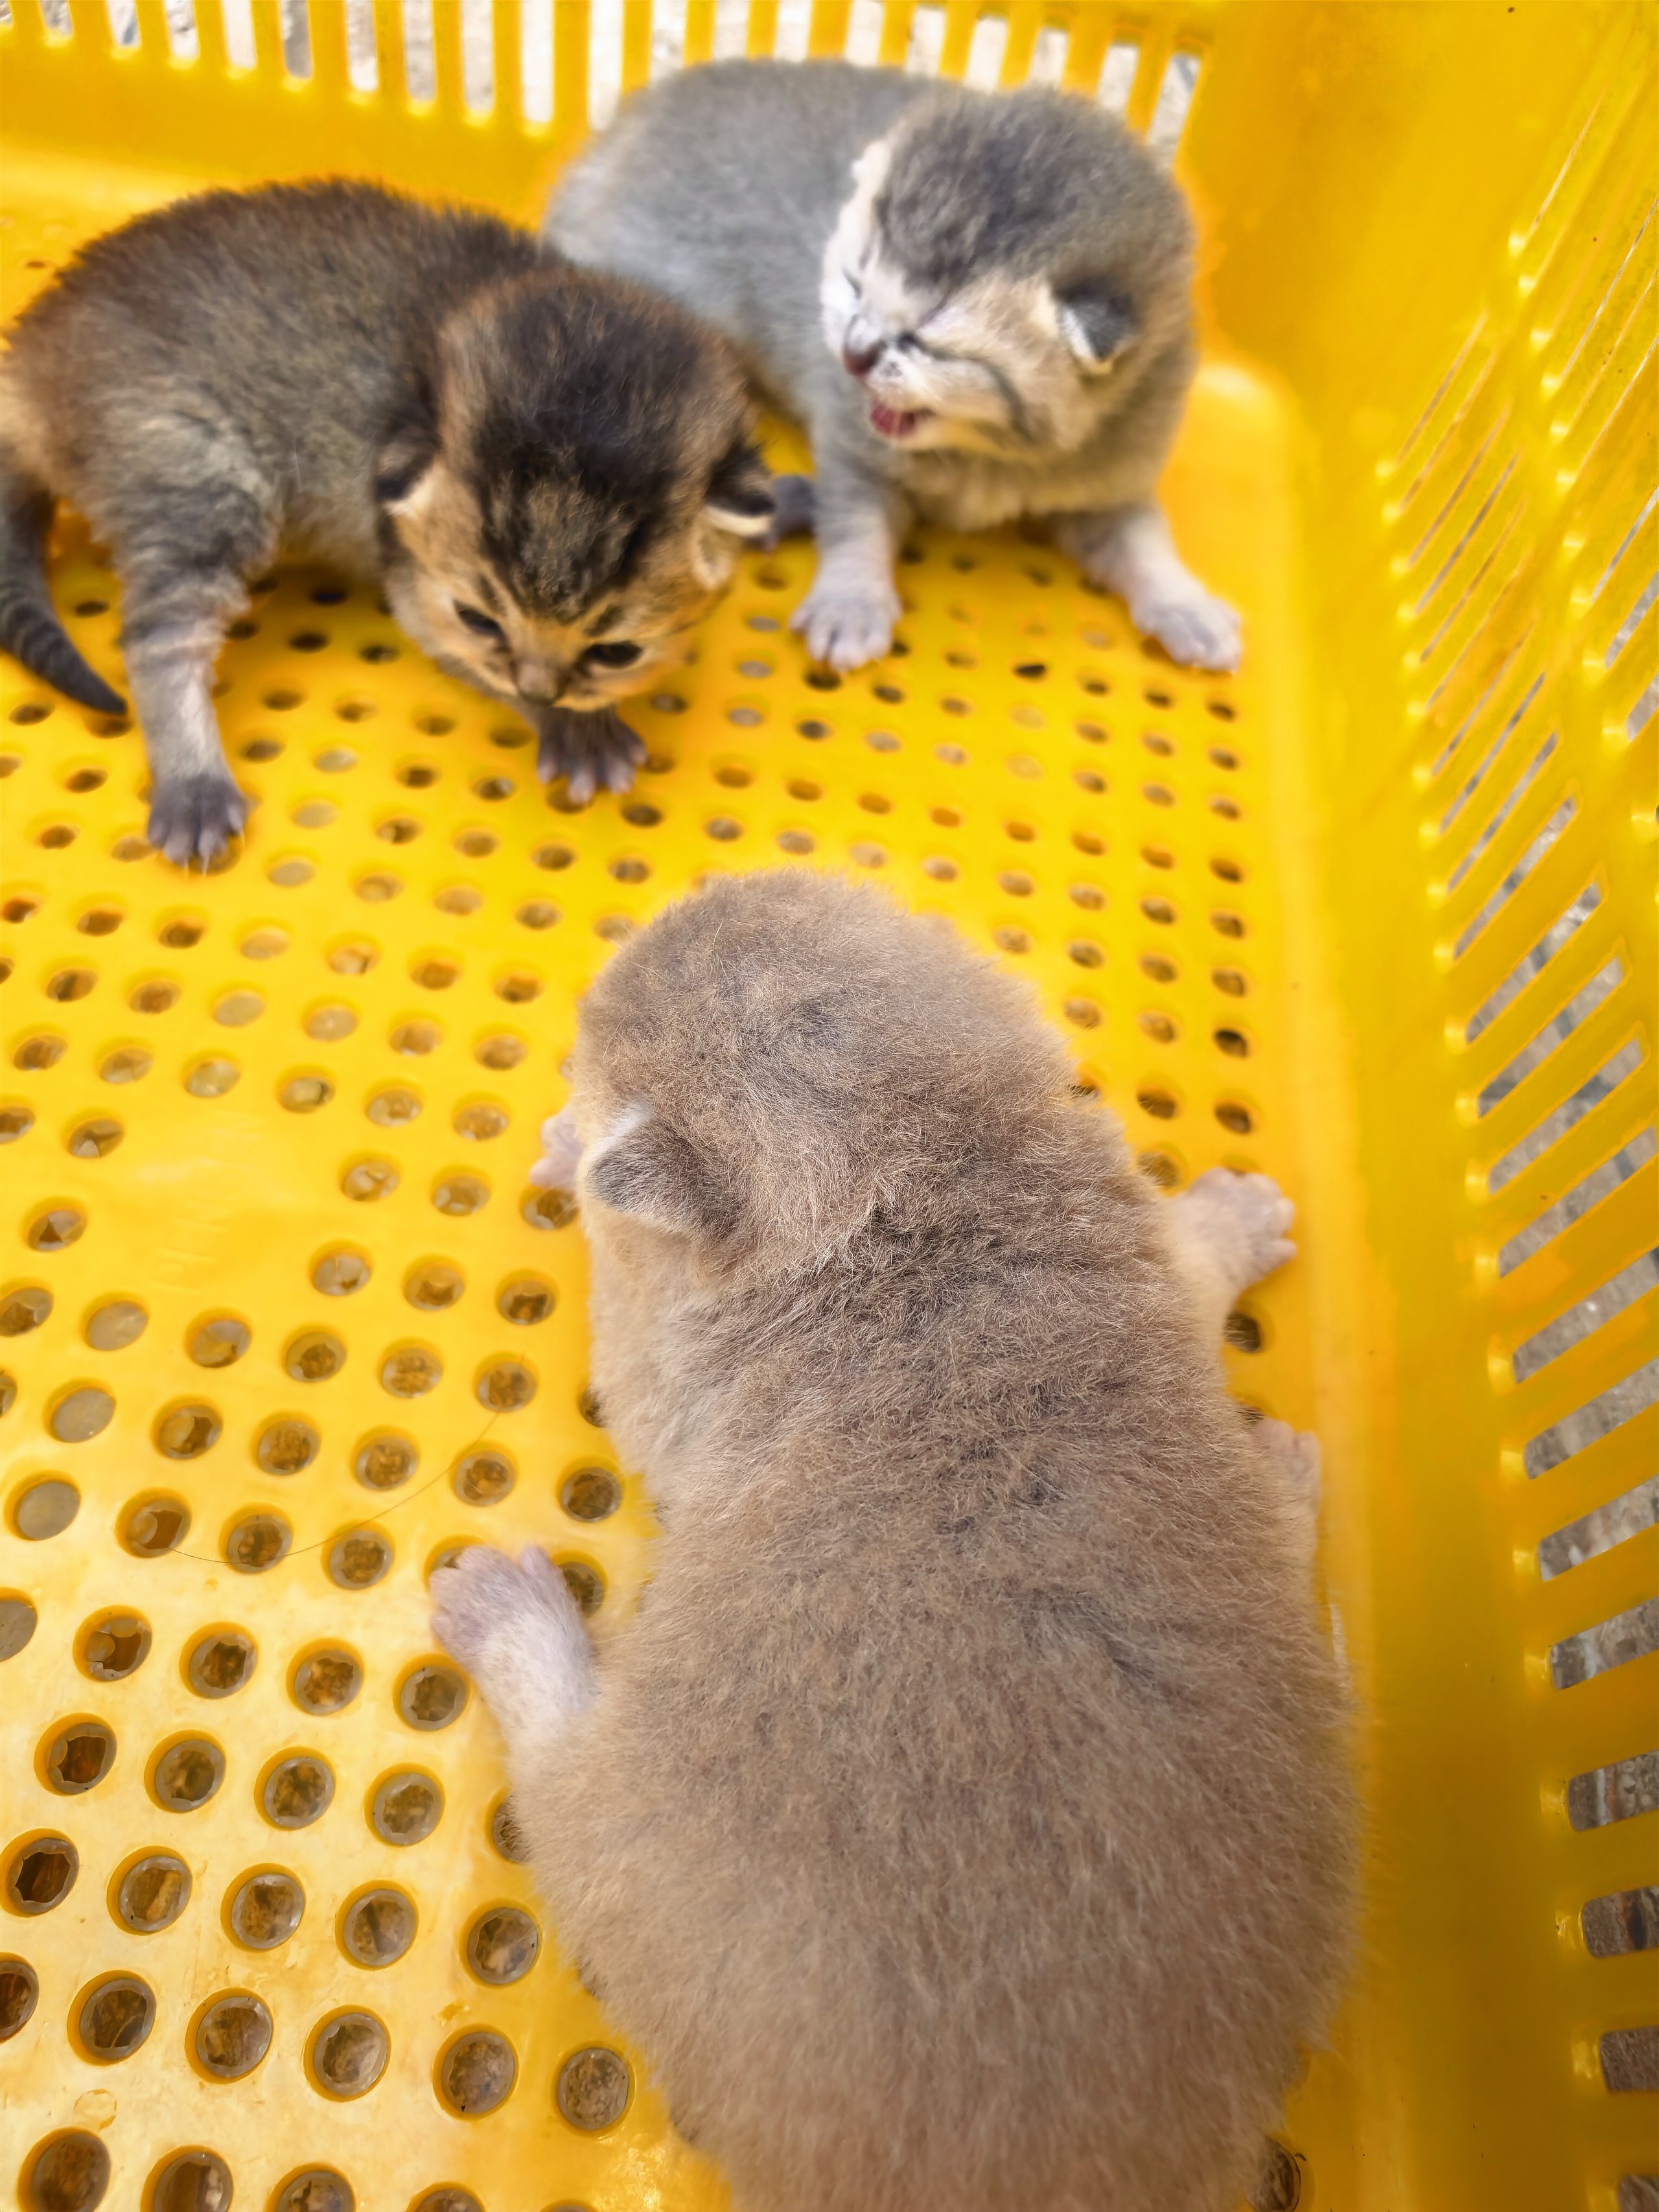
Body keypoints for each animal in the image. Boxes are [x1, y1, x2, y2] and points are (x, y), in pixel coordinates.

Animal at [0, 178, 774, 863]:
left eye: (617, 652)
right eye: (480, 620)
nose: (540, 690)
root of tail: (29, 359)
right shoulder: (417, 591)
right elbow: (461, 652)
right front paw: (576, 729)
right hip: (191, 465)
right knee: (160, 638)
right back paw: (193, 784)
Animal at [434, 869, 1351, 2212]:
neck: (916, 1182)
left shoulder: (654, 1378)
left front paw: (574, 1150)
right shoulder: (1145, 1257)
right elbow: (1194, 1251)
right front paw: (1248, 1207)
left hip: (626, 1816)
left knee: (554, 1773)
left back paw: (496, 1600)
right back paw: (1286, 1466)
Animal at [547, 60, 1239, 676]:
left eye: (927, 343)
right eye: (854, 286)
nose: (852, 357)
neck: (993, 454)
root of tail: (623, 128)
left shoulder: (1115, 475)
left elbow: (1143, 540)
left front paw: (1188, 607)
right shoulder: (852, 446)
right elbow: (857, 523)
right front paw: (850, 603)